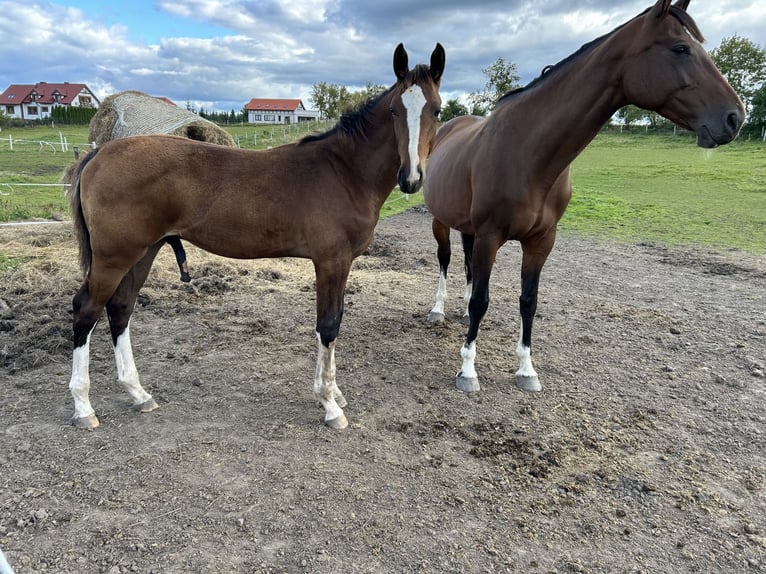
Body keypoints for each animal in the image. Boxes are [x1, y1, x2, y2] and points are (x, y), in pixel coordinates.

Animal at [67, 43, 445, 430]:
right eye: (395, 109)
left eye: (437, 109)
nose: (411, 178)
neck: (344, 172)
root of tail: (99, 153)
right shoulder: (331, 261)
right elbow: (328, 325)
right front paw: (329, 405)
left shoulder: (341, 263)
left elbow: (335, 321)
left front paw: (335, 393)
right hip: (114, 256)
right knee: (87, 309)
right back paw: (84, 407)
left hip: (144, 250)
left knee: (120, 307)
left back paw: (139, 394)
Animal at [422, 0, 744, 395]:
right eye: (680, 48)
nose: (735, 117)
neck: (527, 151)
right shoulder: (490, 235)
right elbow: (484, 299)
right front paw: (467, 370)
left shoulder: (541, 241)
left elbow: (528, 301)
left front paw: (526, 370)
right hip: (443, 222)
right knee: (445, 259)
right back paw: (438, 310)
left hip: (471, 229)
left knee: (468, 266)